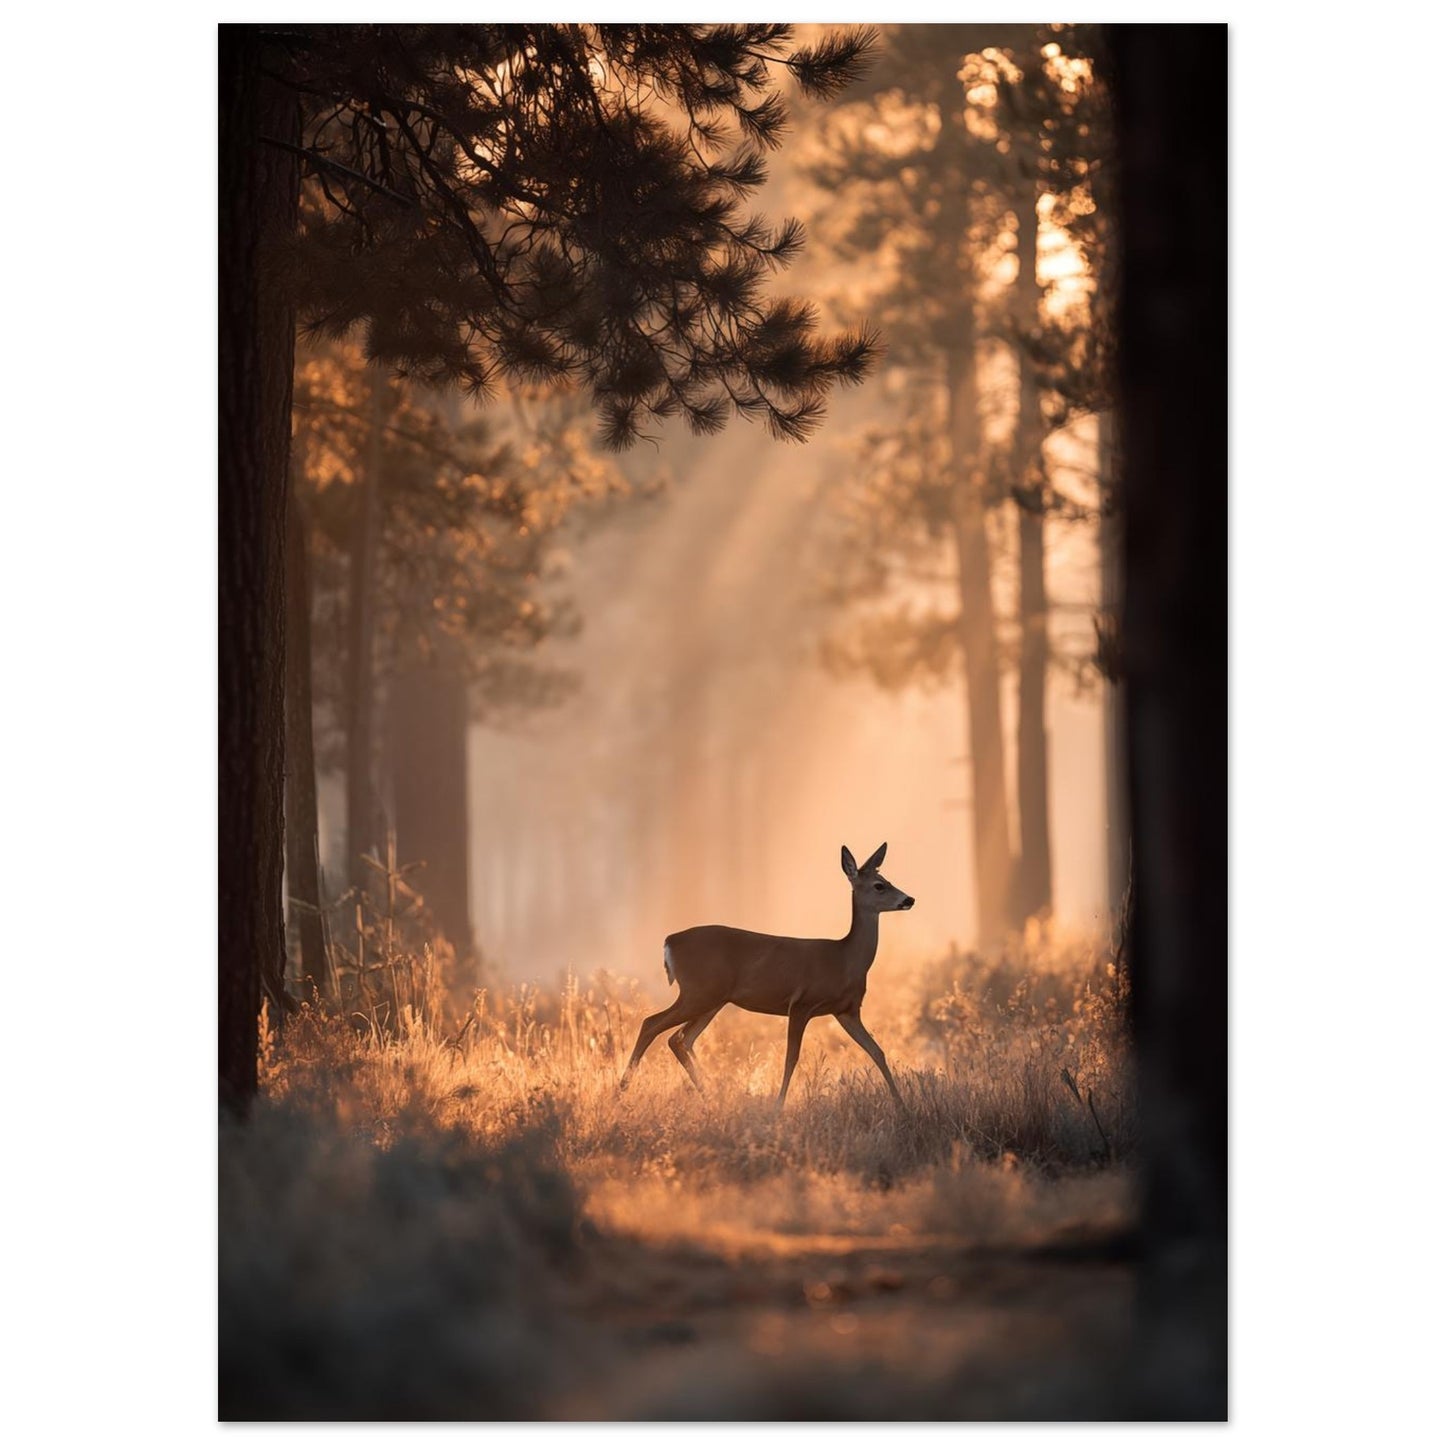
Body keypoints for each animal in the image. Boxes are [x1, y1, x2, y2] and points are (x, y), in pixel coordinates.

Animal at [619, 842, 914, 1112]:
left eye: (888, 880)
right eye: (879, 885)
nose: (909, 899)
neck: (844, 960)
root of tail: (669, 941)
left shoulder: (847, 1011)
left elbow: (877, 1051)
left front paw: (902, 1107)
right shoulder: (802, 1003)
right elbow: (791, 1058)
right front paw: (778, 1107)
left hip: (711, 999)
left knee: (680, 1039)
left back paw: (710, 1097)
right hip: (698, 992)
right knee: (651, 1024)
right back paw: (621, 1091)